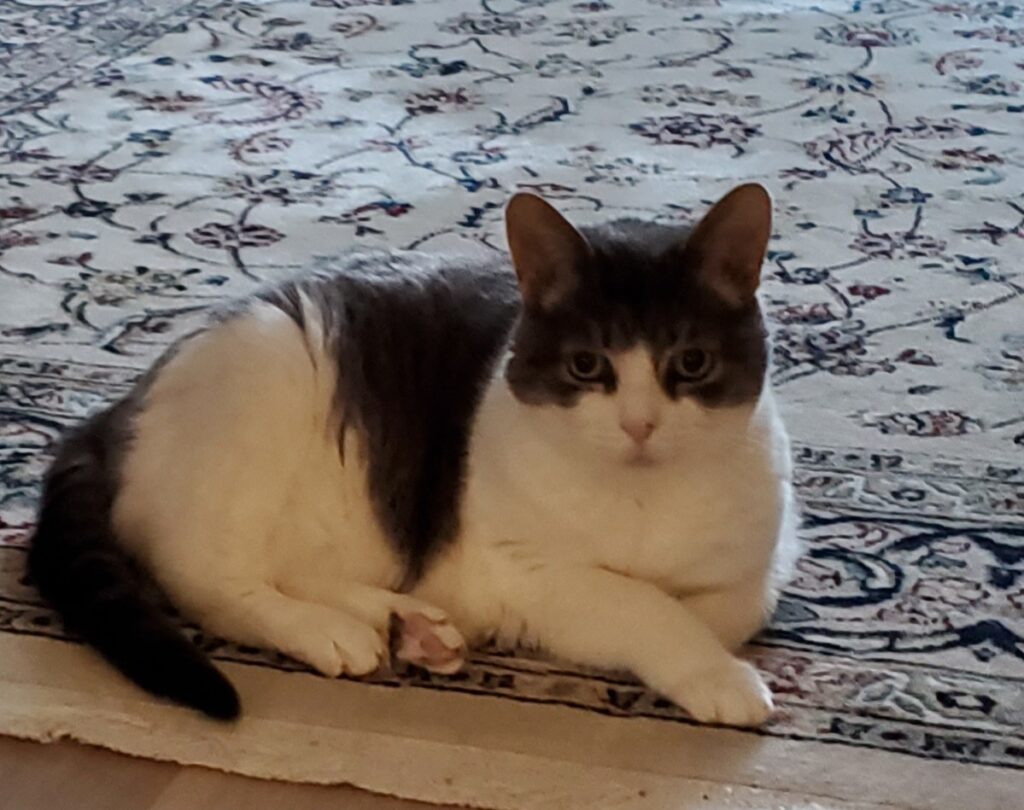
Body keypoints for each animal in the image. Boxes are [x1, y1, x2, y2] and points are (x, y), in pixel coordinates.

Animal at [28, 183, 798, 729]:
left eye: (691, 363)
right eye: (587, 366)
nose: (640, 424)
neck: (643, 499)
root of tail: (119, 403)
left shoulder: (757, 571)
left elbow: (715, 610)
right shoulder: (529, 569)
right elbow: (644, 605)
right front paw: (720, 675)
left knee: (297, 566)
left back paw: (409, 626)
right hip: (267, 379)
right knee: (211, 580)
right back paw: (333, 632)